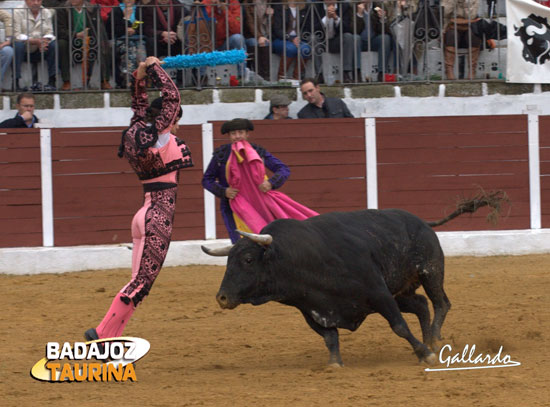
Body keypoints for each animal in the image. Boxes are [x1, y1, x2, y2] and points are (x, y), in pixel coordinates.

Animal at [204, 197, 508, 366]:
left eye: (247, 260)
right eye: (229, 261)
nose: (221, 297)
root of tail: (422, 222)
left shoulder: (379, 294)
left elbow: (398, 326)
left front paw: (425, 354)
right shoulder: (312, 309)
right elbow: (330, 338)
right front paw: (334, 364)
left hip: (430, 271)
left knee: (440, 303)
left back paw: (432, 343)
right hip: (401, 290)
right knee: (422, 304)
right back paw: (429, 342)